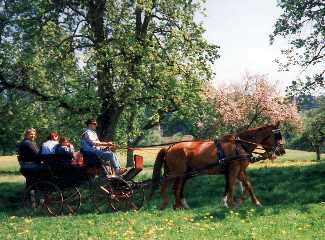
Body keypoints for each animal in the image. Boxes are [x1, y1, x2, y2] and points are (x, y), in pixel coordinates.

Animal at [149, 123, 284, 209]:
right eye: (277, 136)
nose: (281, 151)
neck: (240, 144)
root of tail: (169, 147)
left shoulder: (239, 170)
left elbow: (247, 185)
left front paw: (256, 203)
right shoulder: (234, 169)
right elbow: (231, 185)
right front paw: (231, 204)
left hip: (181, 173)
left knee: (176, 187)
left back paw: (180, 205)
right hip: (177, 172)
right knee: (169, 186)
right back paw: (169, 205)